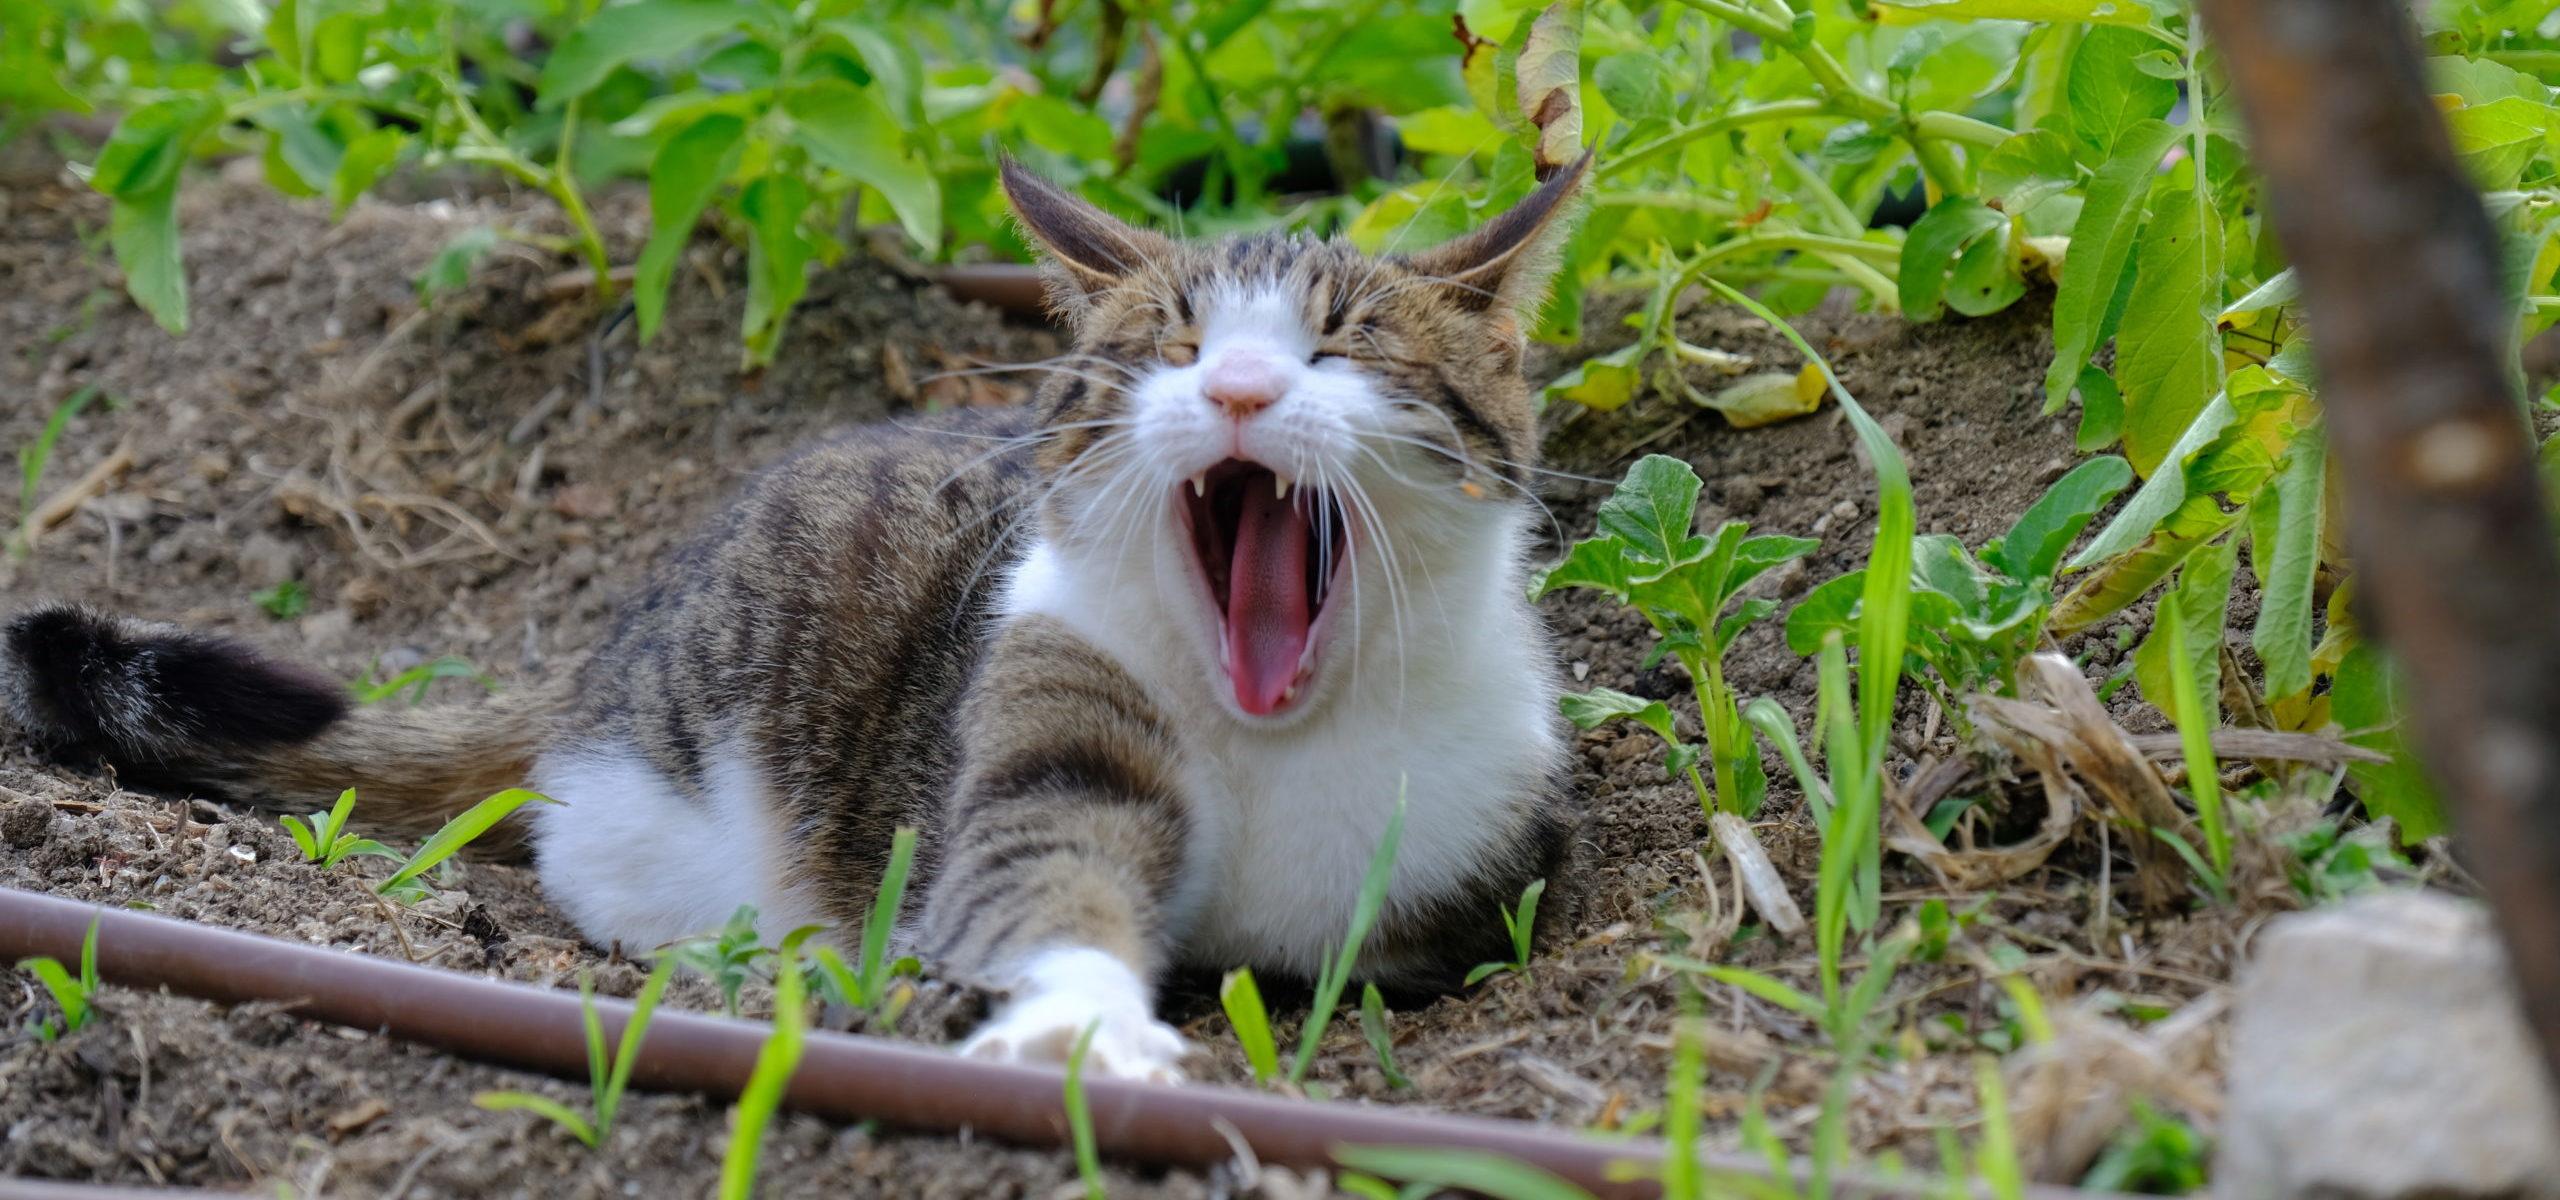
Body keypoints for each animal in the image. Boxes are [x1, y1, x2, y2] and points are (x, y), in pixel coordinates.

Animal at [0, 154, 1587, 1079]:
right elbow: (1039, 880)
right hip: (676, 794)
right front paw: (1081, 1034)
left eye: (1340, 348)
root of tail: (612, 640)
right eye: (1170, 348)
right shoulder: (1038, 733)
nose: (1243, 389)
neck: (1268, 732)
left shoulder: (1473, 879)